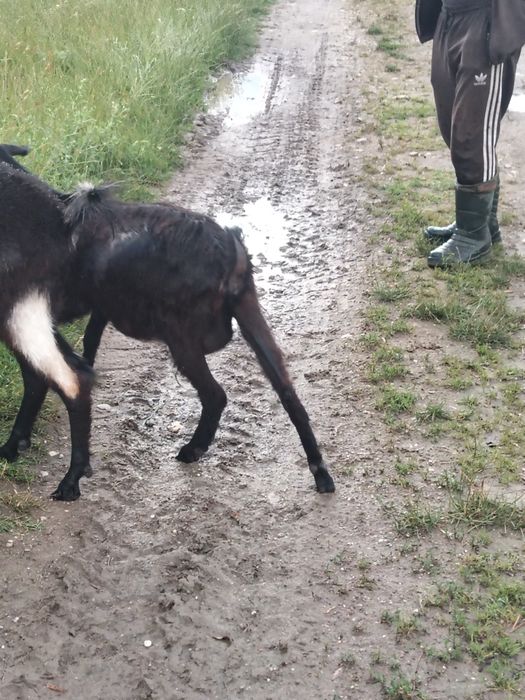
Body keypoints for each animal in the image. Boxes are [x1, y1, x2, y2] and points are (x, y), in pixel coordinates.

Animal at [0, 153, 335, 500]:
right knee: (287, 392)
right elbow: (70, 358)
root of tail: (230, 249)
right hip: (249, 317)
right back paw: (320, 473)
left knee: (213, 394)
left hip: (181, 339)